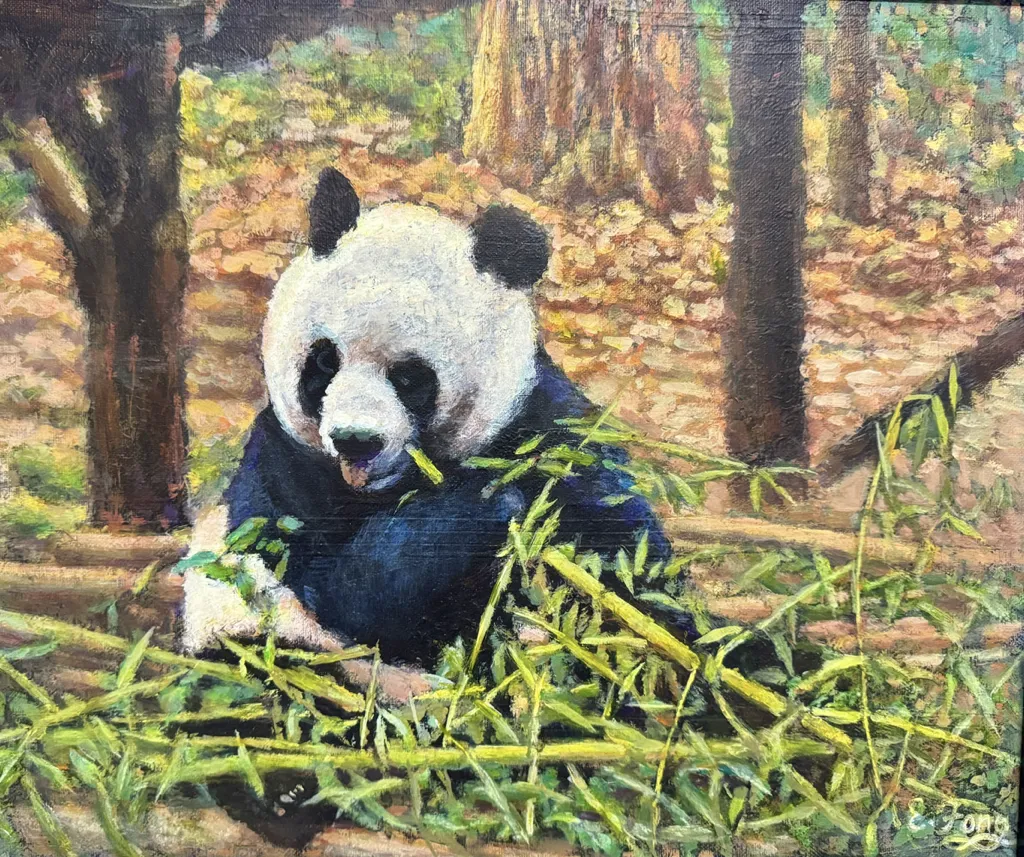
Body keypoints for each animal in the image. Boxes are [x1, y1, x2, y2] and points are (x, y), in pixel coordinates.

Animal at [180, 166, 689, 670]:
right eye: (324, 362)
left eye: (410, 377)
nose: (356, 440)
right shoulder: (282, 464)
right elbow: (345, 588)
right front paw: (494, 506)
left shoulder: (541, 428)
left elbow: (620, 546)